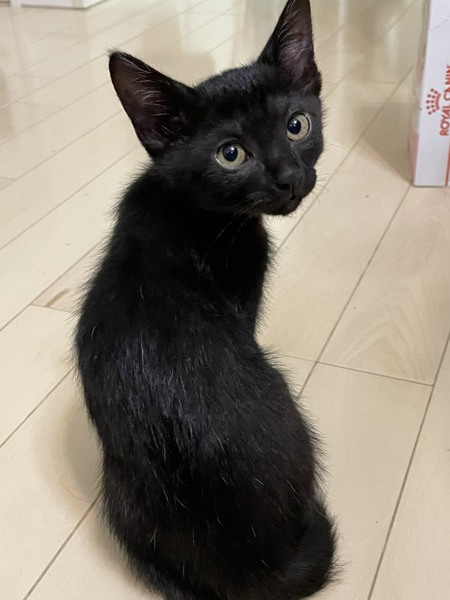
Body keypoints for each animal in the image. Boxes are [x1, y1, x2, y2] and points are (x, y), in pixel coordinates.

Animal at [75, 0, 335, 599]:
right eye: (231, 155)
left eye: (297, 125)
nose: (290, 178)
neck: (195, 208)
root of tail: (249, 567)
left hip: (117, 495)